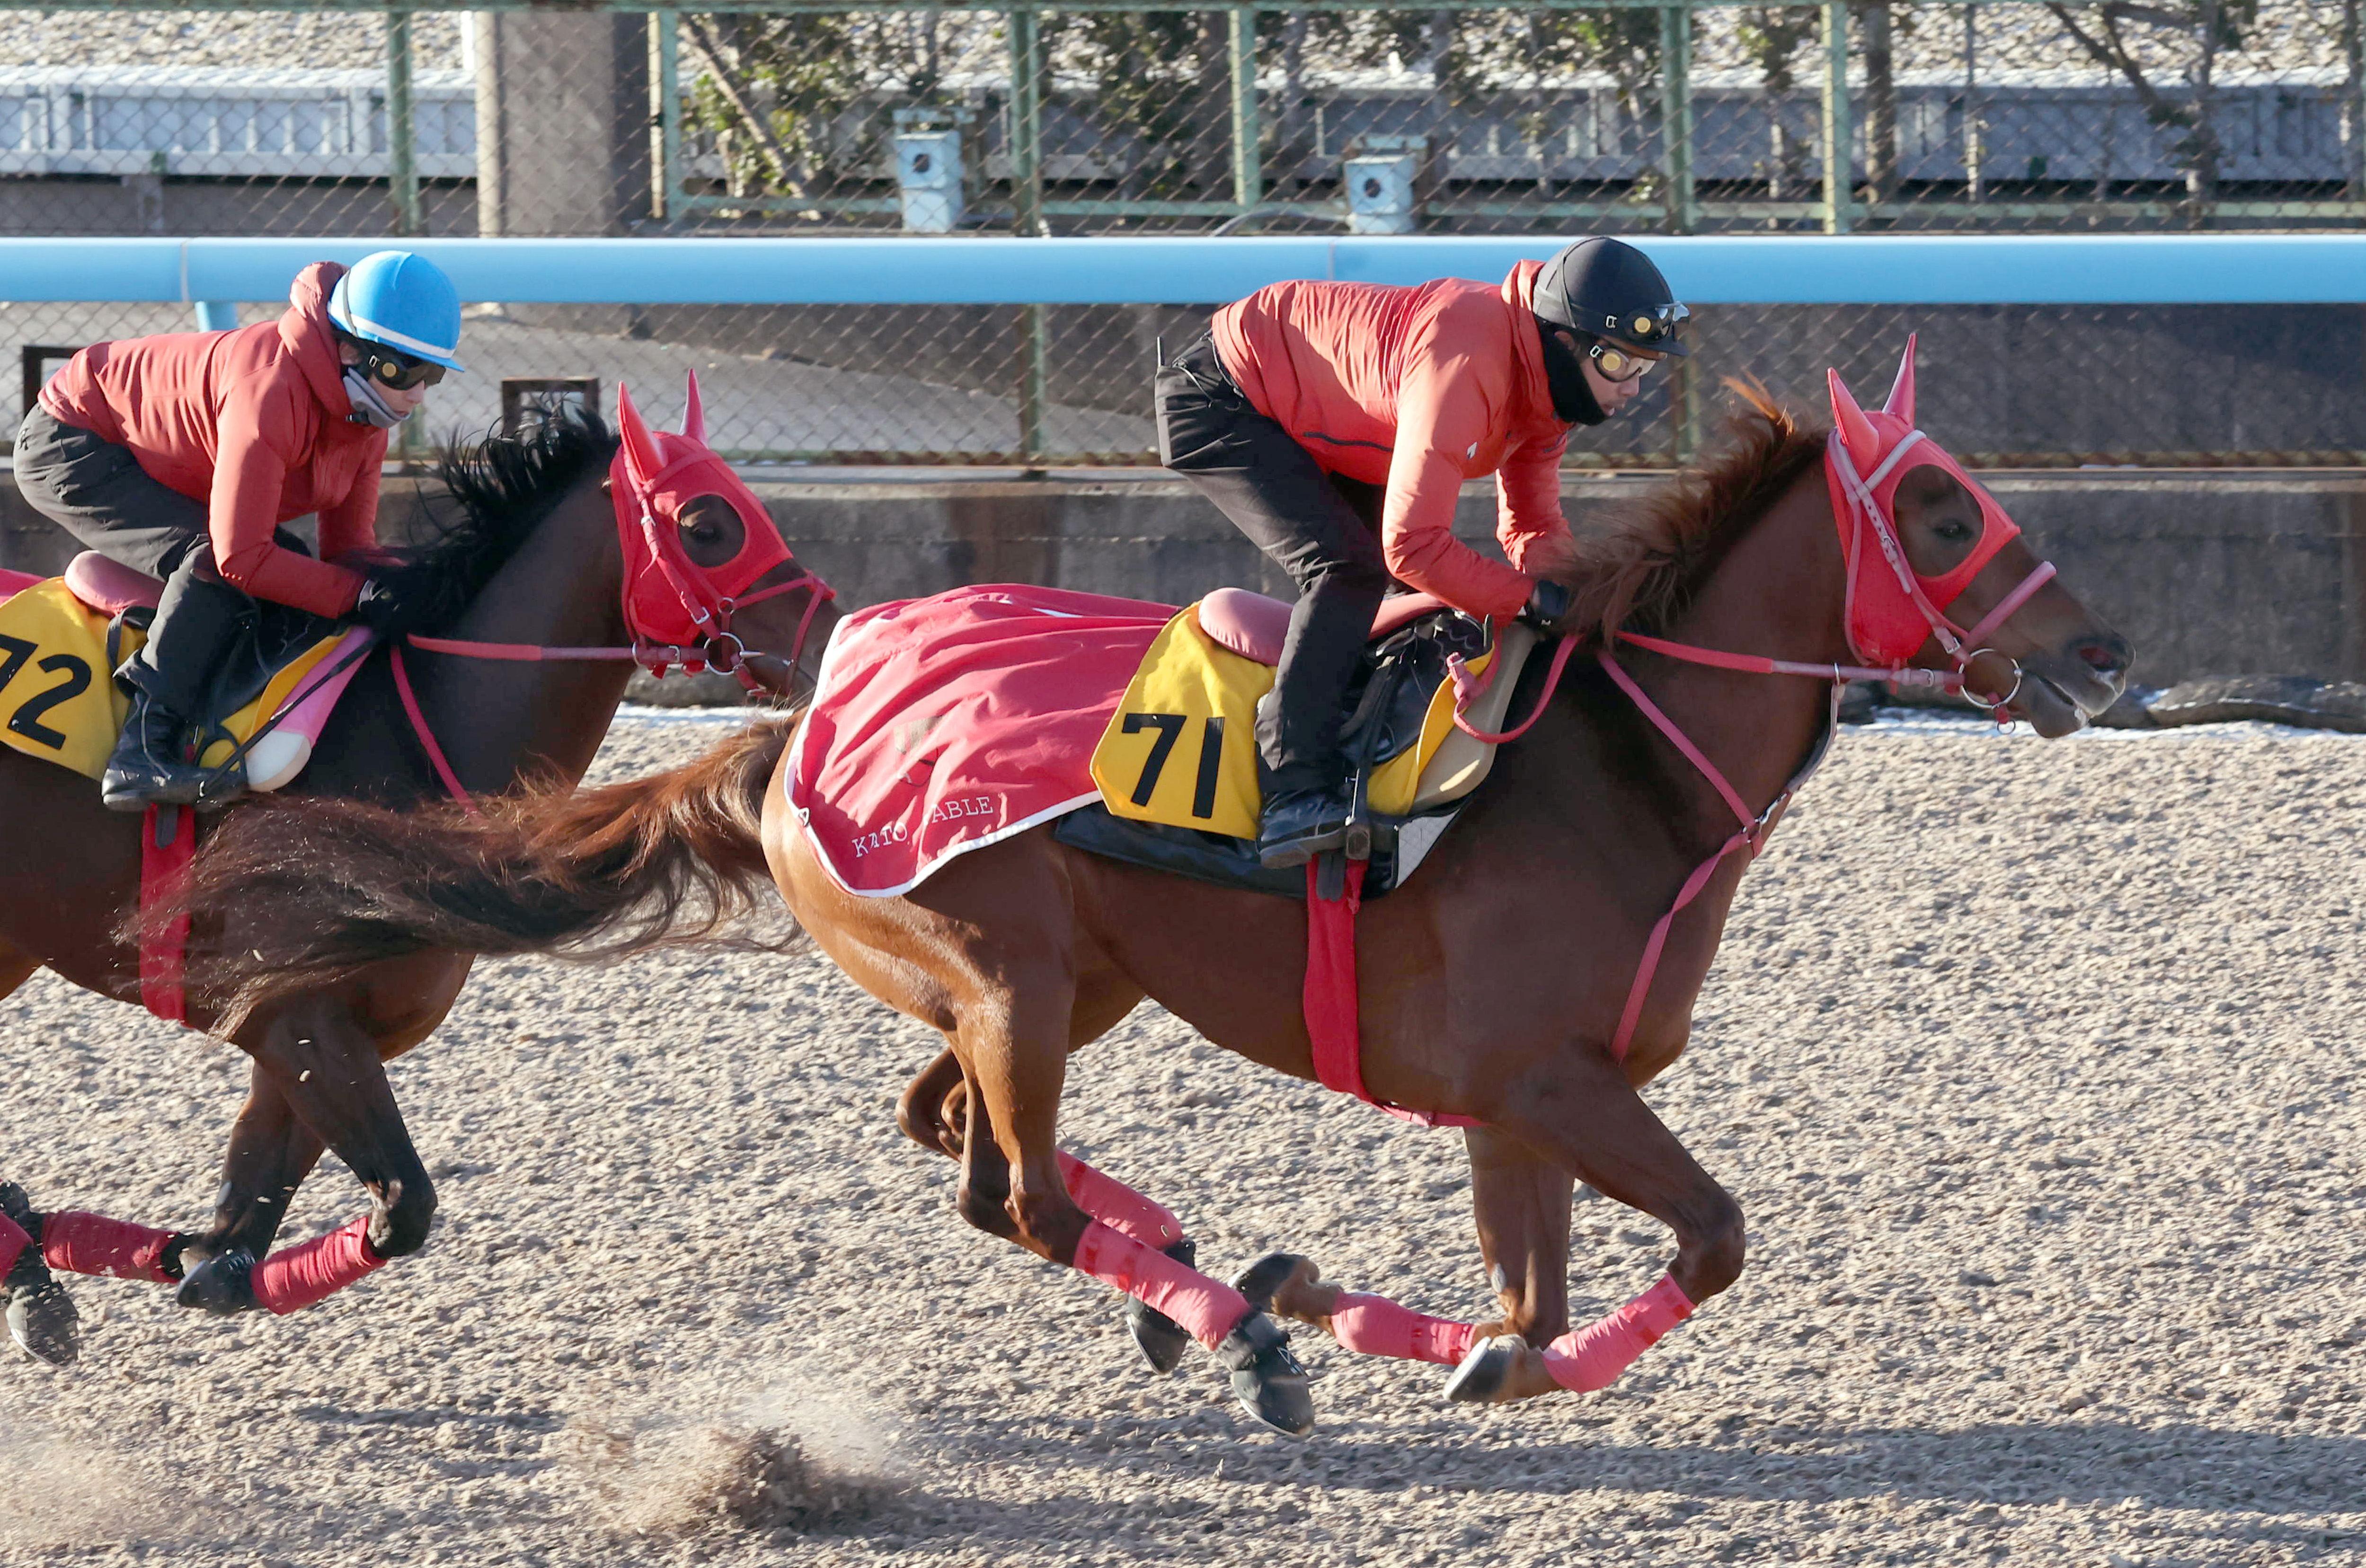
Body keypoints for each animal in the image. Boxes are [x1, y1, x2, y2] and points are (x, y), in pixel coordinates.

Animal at [0, 383, 842, 1362]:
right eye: (707, 524)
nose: (832, 638)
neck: (409, 737)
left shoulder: (304, 1029)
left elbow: (241, 1232)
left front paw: (169, 1260)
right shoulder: (296, 1018)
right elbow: (402, 1207)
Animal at [167, 359, 2129, 1438]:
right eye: (1938, 510)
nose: (2100, 648)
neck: (1613, 774)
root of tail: (808, 707)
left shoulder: (1517, 1106)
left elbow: (1528, 1304)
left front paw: (1386, 1323)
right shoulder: (1546, 1080)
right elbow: (1702, 1241)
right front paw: (1342, 1324)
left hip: (1042, 981)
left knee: (957, 1148)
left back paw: (1206, 1273)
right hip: (1006, 971)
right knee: (1018, 1190)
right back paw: (1225, 1317)